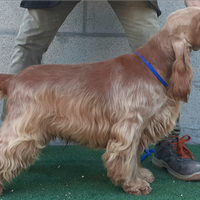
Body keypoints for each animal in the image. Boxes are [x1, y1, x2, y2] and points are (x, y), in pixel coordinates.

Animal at [0, 7, 200, 195]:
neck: (155, 65)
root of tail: (14, 78)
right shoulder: (130, 125)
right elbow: (127, 157)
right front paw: (134, 184)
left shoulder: (141, 127)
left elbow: (135, 155)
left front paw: (141, 176)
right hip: (22, 127)